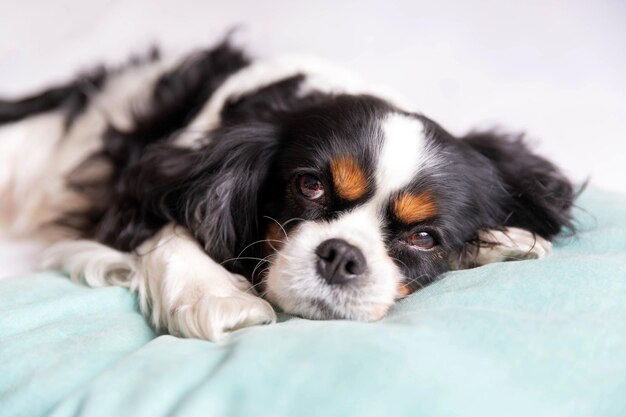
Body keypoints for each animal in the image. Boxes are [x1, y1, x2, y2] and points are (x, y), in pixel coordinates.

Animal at [0, 39, 572, 340]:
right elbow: (170, 229)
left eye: (425, 238)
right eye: (310, 186)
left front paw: (505, 241)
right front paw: (215, 294)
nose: (342, 255)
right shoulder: (134, 194)